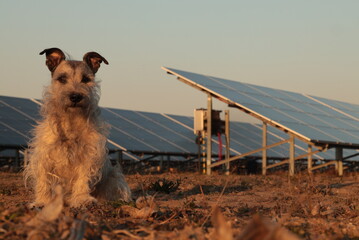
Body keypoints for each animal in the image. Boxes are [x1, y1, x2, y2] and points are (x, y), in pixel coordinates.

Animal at [25, 47, 132, 207]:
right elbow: (44, 180)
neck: (71, 120)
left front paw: (82, 199)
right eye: (62, 79)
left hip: (115, 176)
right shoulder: (45, 155)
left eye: (86, 79)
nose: (75, 96)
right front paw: (42, 201)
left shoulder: (89, 154)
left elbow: (83, 177)